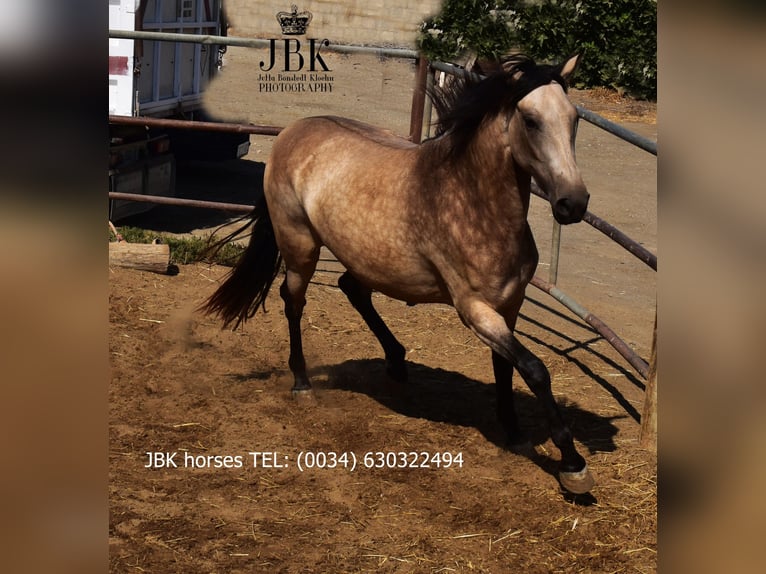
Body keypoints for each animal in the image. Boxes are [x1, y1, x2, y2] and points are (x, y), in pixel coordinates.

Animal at [203, 54, 594, 494]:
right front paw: (573, 464)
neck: (472, 202)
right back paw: (302, 382)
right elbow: (536, 370)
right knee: (294, 302)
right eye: (530, 120)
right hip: (300, 246)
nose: (573, 203)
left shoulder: (509, 306)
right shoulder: (475, 310)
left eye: (573, 119)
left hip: (363, 257)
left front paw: (513, 432)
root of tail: (293, 130)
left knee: (351, 289)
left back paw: (396, 361)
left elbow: (507, 367)